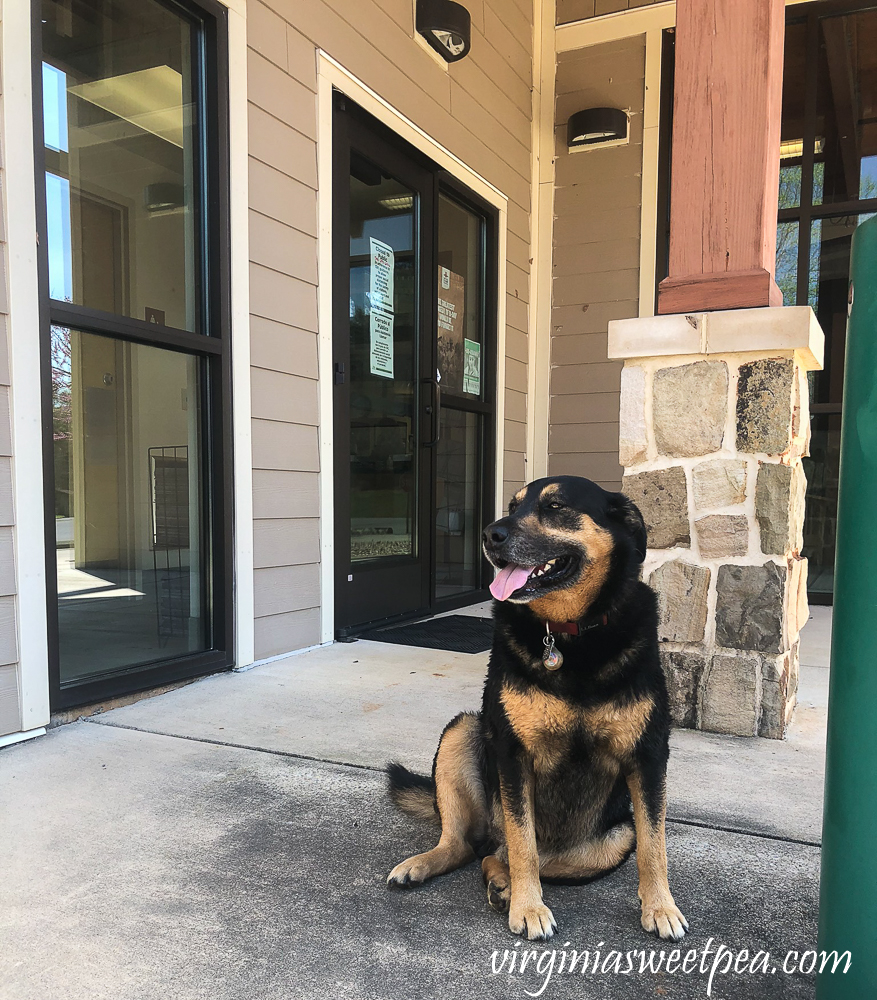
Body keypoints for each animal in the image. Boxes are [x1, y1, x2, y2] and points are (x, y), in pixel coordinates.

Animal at [386, 472, 688, 940]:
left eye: (556, 506)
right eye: (512, 505)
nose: (490, 534)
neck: (569, 632)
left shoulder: (649, 754)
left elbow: (655, 846)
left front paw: (660, 908)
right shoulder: (513, 753)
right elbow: (522, 844)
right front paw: (529, 909)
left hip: (614, 839)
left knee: (498, 855)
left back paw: (501, 883)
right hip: (463, 731)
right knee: (469, 845)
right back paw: (430, 866)